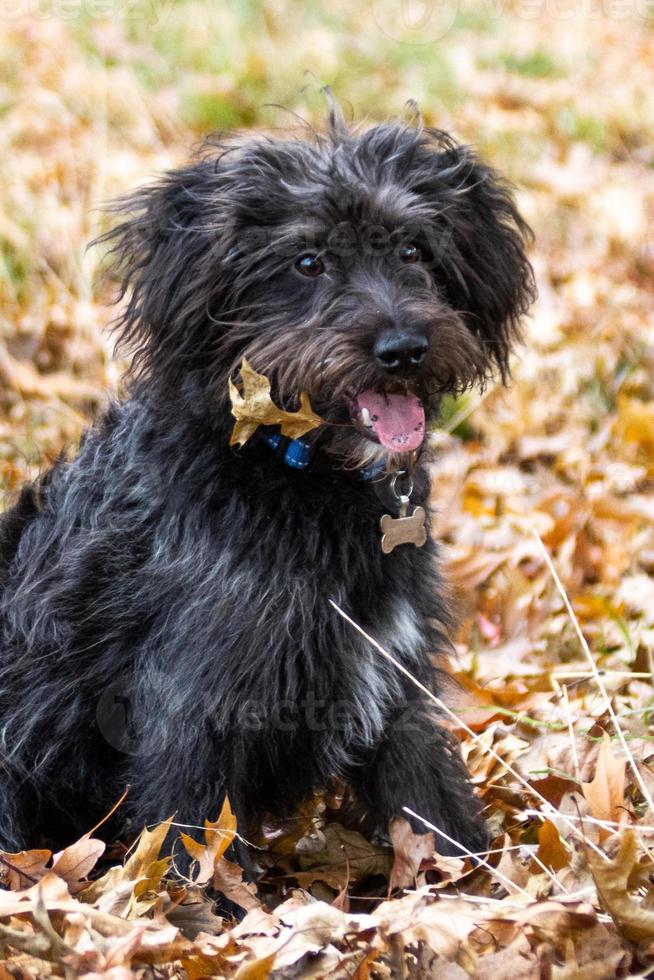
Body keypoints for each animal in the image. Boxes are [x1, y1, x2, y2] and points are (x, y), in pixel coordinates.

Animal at [0, 103, 532, 864]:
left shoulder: (389, 666)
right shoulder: (195, 702)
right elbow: (191, 840)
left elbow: (428, 795)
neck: (300, 477)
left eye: (412, 250)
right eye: (308, 262)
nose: (403, 350)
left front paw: (472, 878)